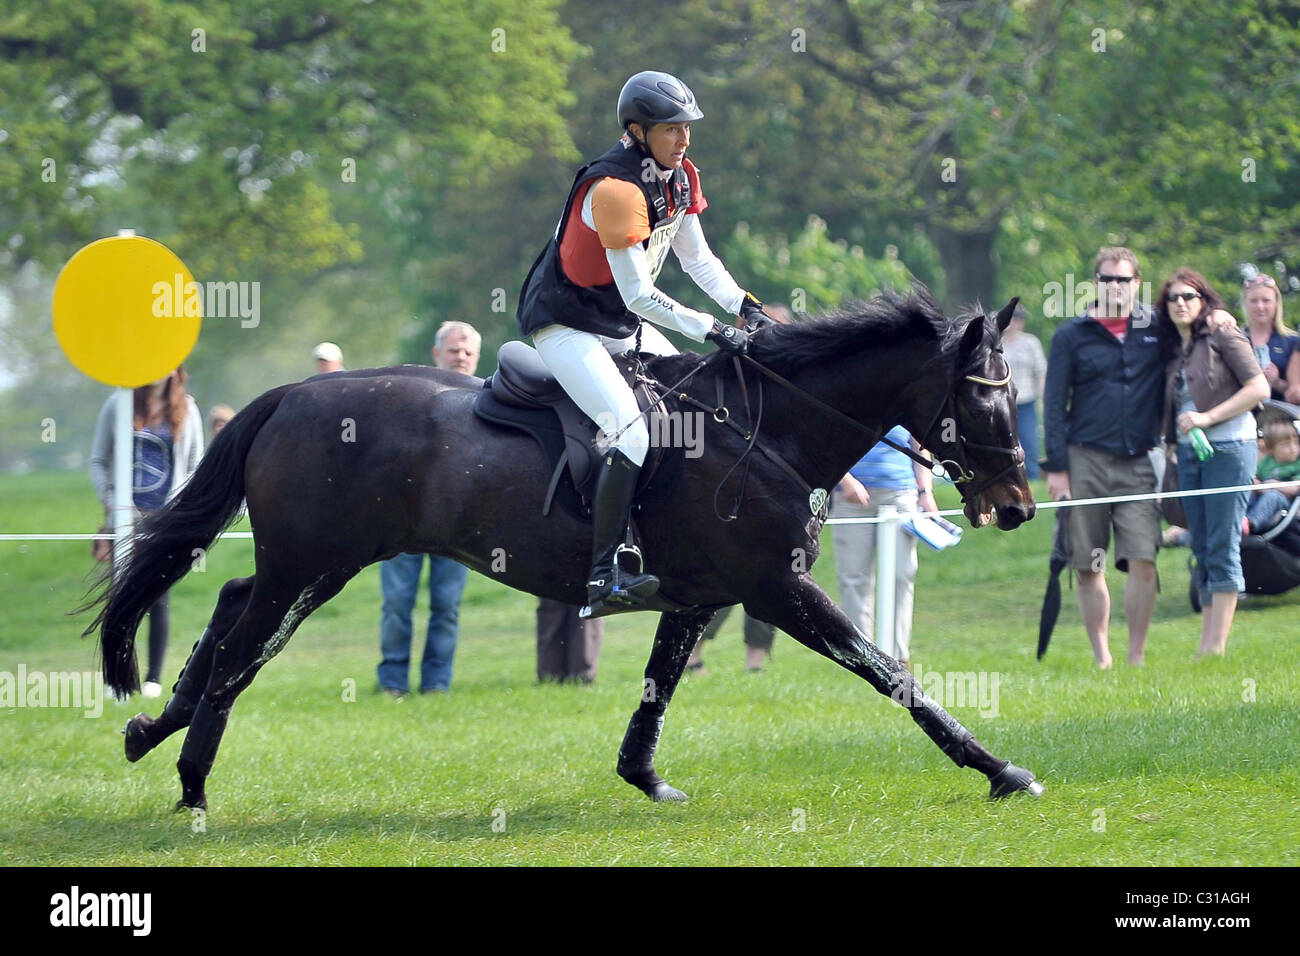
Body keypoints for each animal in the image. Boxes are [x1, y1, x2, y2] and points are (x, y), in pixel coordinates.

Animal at [89, 290, 1045, 806]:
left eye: (1009, 396)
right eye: (983, 399)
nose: (1017, 508)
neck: (765, 429)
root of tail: (290, 394)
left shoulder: (700, 596)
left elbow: (658, 691)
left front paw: (643, 778)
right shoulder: (778, 592)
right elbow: (892, 673)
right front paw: (998, 768)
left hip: (315, 563)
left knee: (230, 610)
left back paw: (151, 731)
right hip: (318, 561)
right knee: (243, 645)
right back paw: (191, 779)